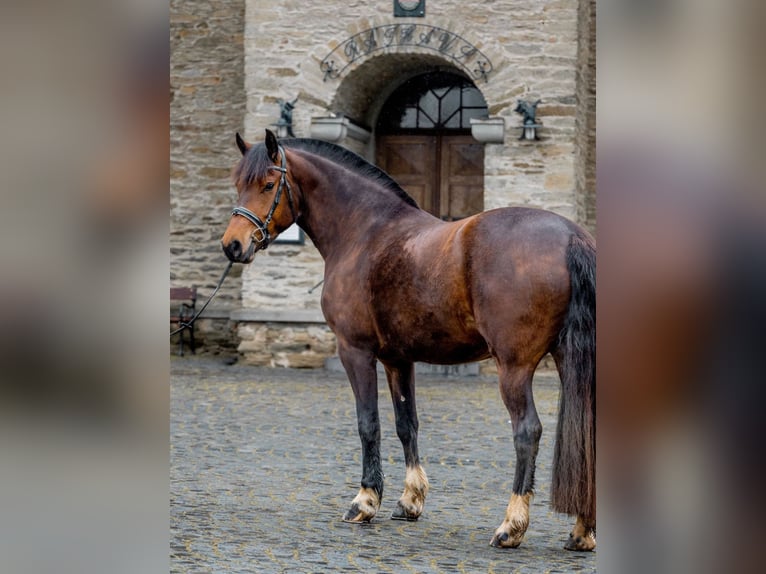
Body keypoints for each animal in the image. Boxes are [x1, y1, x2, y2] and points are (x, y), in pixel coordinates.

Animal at [222, 130, 600, 552]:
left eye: (268, 184)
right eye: (239, 183)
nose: (232, 245)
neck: (365, 232)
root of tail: (571, 236)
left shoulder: (356, 351)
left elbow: (368, 423)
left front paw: (365, 501)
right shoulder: (398, 359)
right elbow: (407, 424)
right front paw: (410, 500)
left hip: (514, 367)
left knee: (527, 431)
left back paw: (512, 525)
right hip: (570, 359)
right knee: (585, 433)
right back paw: (582, 530)